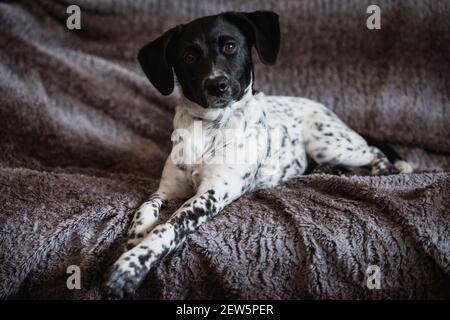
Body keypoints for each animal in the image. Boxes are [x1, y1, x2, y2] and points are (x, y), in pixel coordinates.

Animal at [104, 11, 412, 298]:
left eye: (230, 46)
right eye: (189, 56)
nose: (217, 85)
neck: (209, 126)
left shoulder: (211, 194)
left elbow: (169, 227)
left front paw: (131, 265)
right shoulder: (166, 189)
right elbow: (145, 208)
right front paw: (135, 238)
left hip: (329, 143)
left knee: (372, 150)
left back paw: (383, 169)